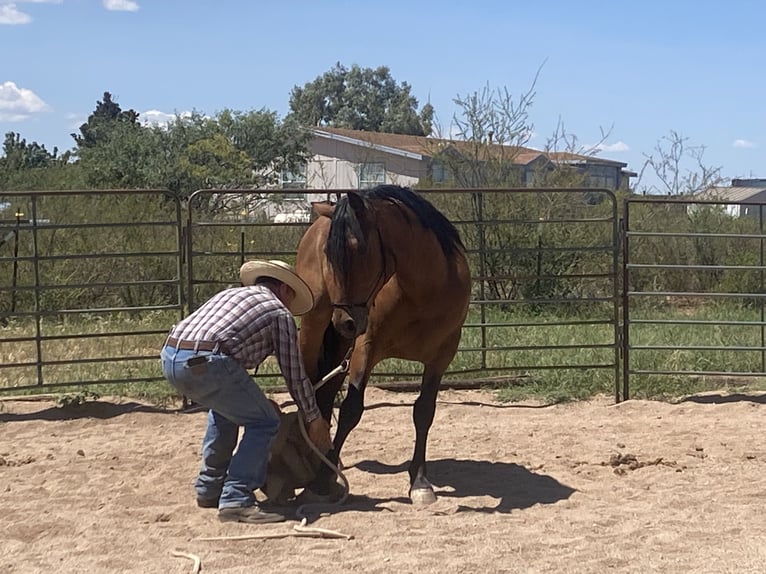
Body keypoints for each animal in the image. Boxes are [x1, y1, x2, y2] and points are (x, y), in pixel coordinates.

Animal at [296, 184, 472, 504]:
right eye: (329, 254)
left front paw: (420, 482)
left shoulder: (442, 356)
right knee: (311, 390)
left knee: (325, 394)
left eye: (360, 249)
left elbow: (424, 411)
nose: (345, 322)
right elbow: (351, 410)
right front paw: (322, 481)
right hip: (316, 329)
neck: (423, 292)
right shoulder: (365, 348)